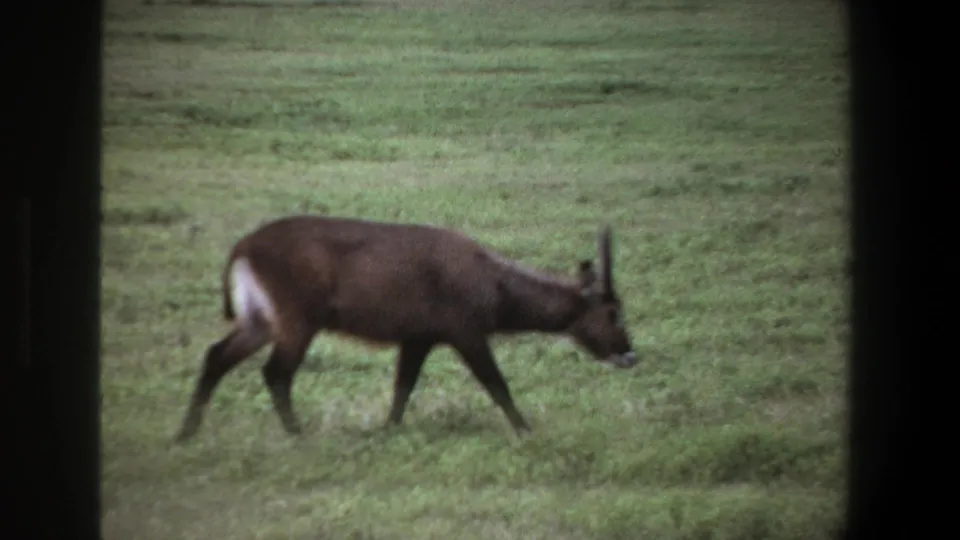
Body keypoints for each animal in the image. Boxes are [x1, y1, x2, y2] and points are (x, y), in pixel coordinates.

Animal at [175, 215, 637, 442]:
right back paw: (297, 435)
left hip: (260, 321)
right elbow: (496, 384)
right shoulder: (466, 334)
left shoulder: (418, 339)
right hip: (297, 321)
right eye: (614, 311)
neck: (494, 283)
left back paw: (185, 434)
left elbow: (403, 387)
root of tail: (243, 247)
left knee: (216, 356)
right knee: (275, 373)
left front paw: (388, 431)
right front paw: (525, 431)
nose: (630, 353)